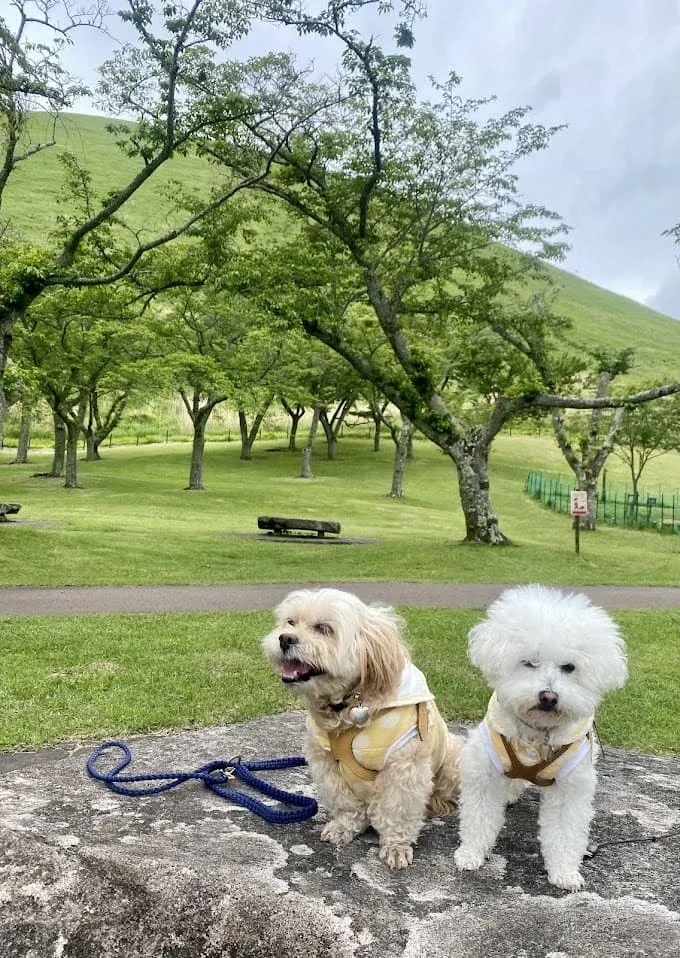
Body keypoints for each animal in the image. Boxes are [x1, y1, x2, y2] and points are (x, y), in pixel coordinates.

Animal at [260, 588, 462, 872]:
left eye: (324, 629)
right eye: (290, 622)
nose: (285, 639)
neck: (350, 705)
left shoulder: (403, 767)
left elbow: (397, 810)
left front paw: (396, 846)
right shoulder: (326, 763)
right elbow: (345, 802)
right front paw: (345, 827)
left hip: (453, 762)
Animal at [454, 584, 628, 892]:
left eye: (569, 667)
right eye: (529, 663)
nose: (549, 696)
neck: (536, 736)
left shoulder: (572, 786)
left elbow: (564, 832)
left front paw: (564, 872)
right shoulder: (484, 770)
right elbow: (479, 815)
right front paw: (471, 853)